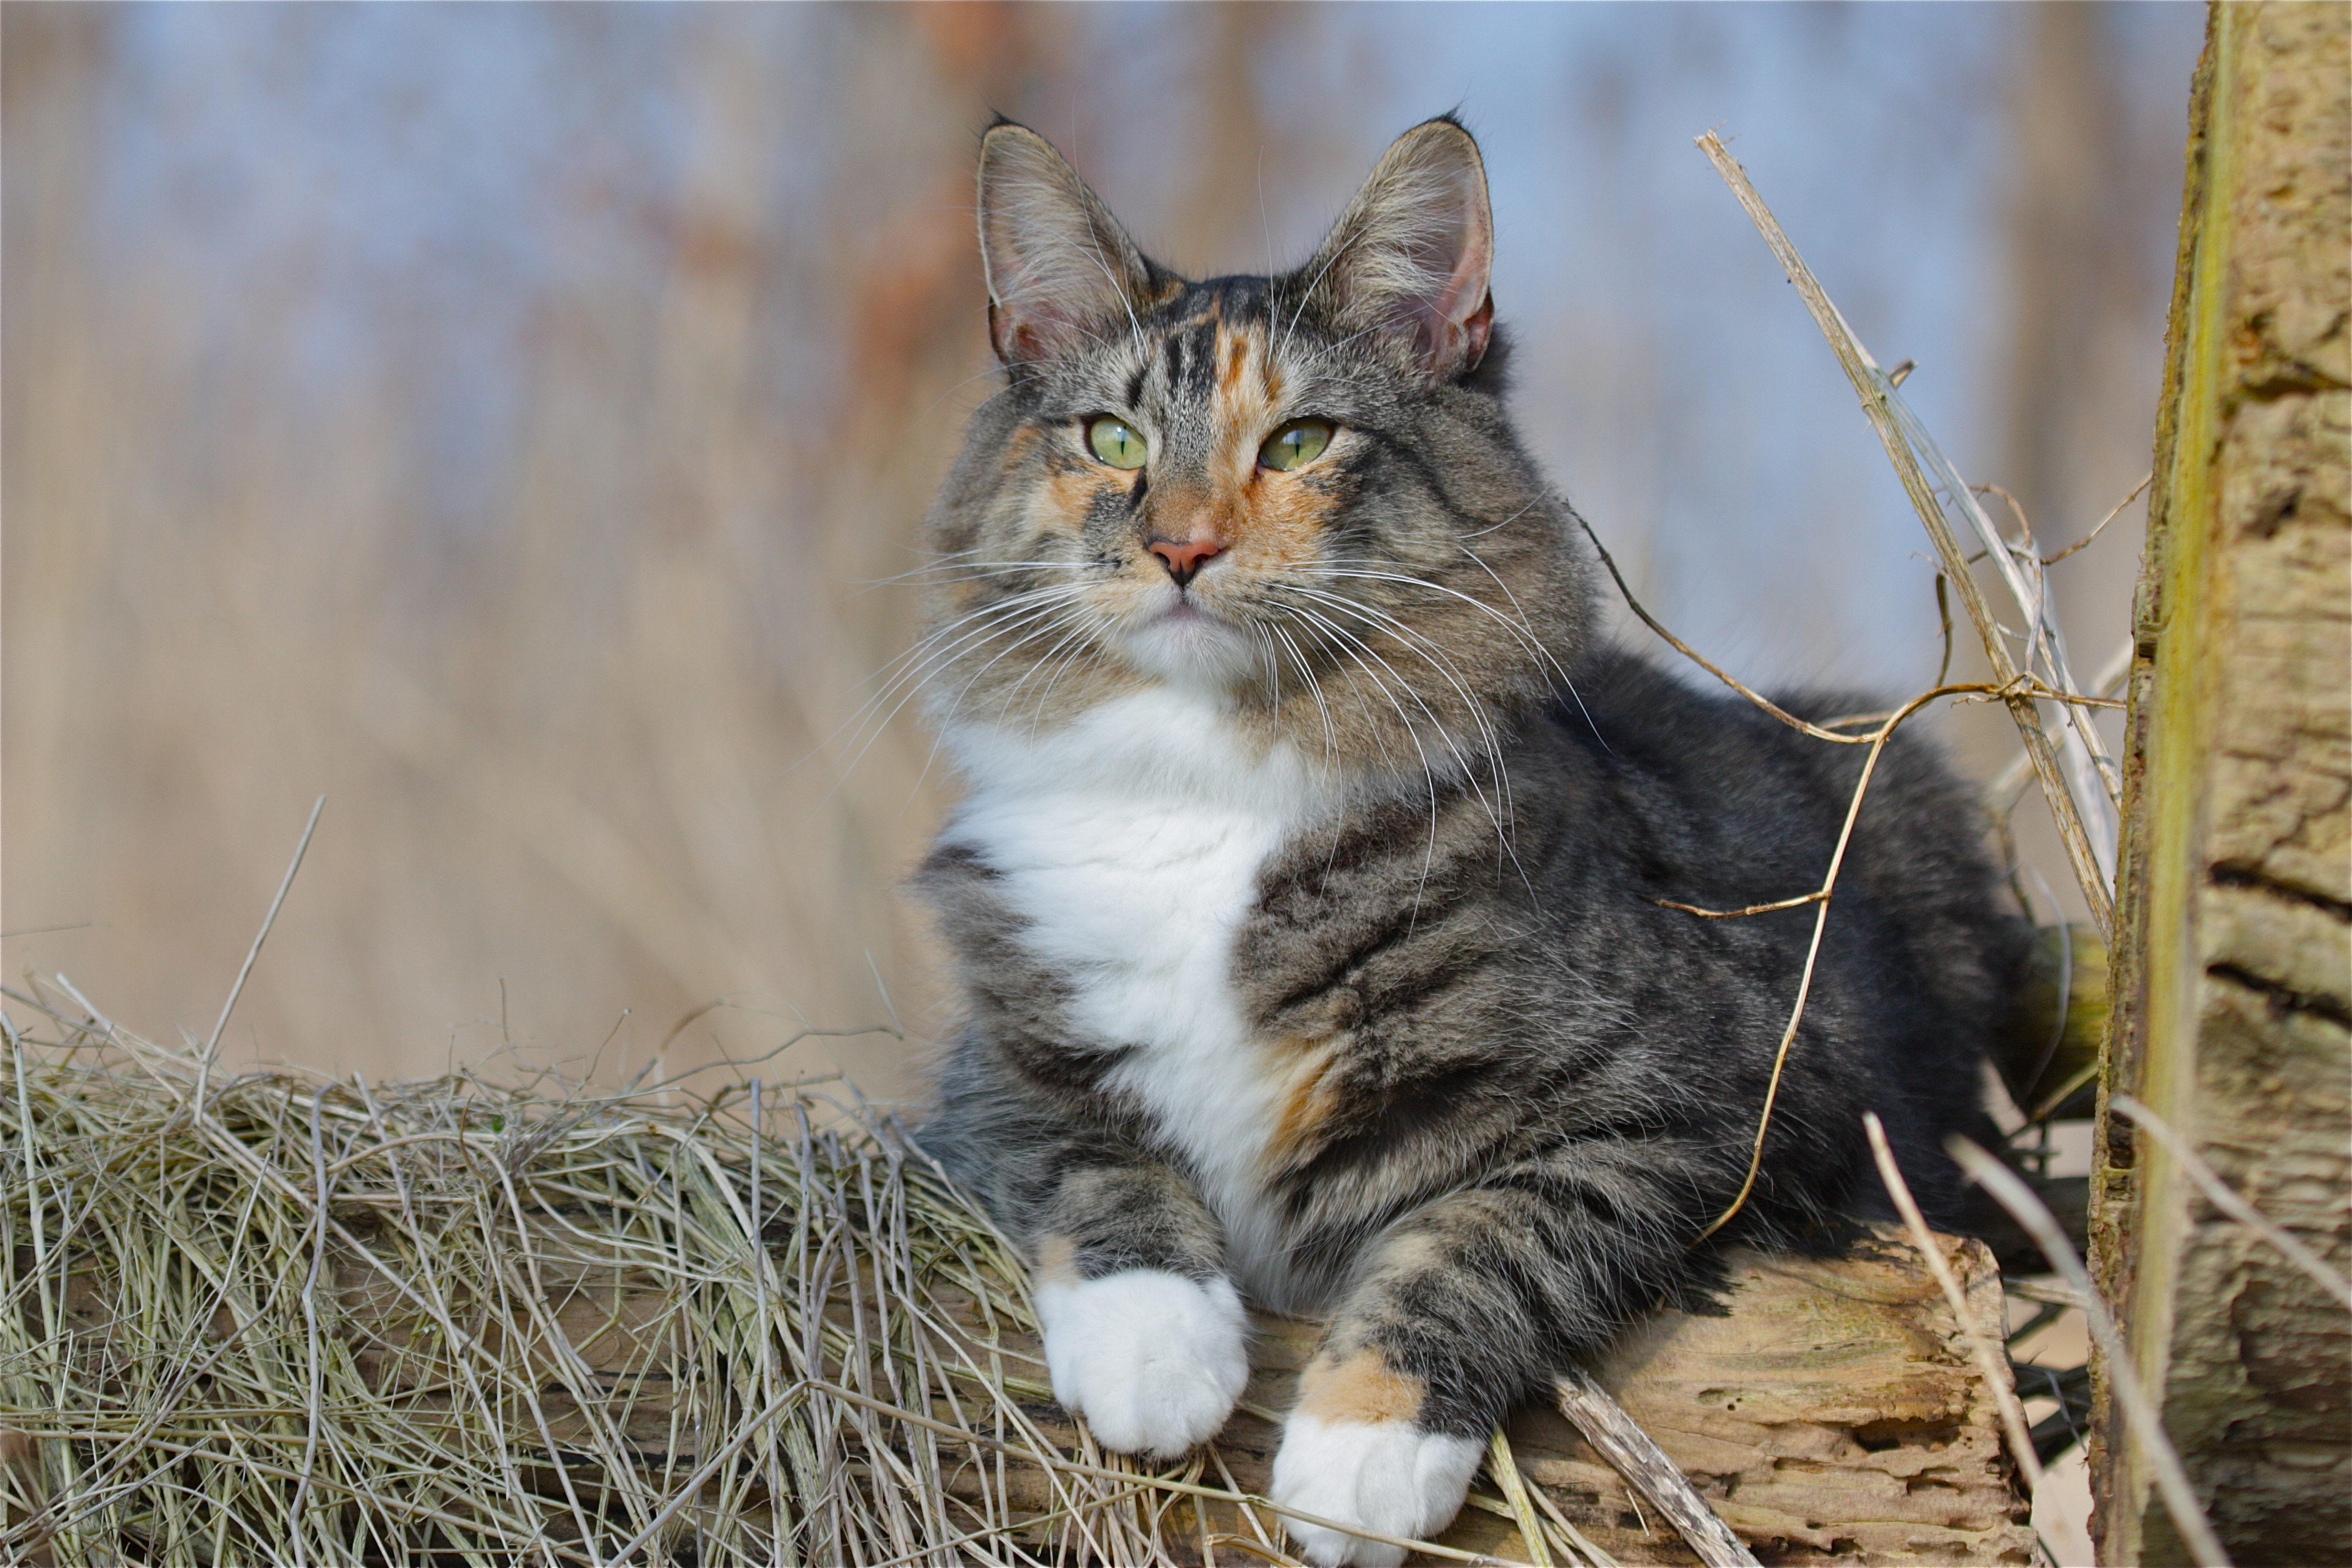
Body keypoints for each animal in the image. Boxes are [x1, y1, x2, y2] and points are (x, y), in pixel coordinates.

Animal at [907, 119, 2013, 1568]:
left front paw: (1361, 1450)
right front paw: (1156, 1350)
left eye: (1300, 441)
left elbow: (1478, 1234)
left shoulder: (1703, 1105)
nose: (1179, 547)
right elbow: (1088, 1155)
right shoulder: (980, 1070)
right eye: (1111, 436)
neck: (1205, 781)